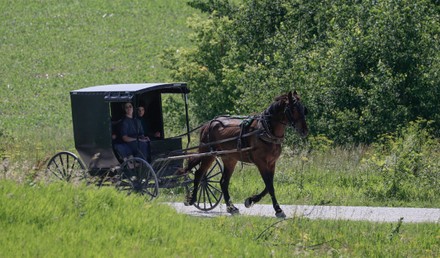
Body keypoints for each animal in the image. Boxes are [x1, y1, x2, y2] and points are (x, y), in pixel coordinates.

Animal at [184, 90, 308, 218]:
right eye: (293, 109)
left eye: (303, 109)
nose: (305, 131)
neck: (266, 130)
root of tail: (207, 124)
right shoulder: (261, 163)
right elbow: (269, 186)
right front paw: (278, 209)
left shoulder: (272, 163)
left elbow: (268, 186)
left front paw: (250, 200)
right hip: (208, 154)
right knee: (199, 174)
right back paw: (192, 199)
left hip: (229, 159)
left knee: (223, 182)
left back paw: (231, 207)